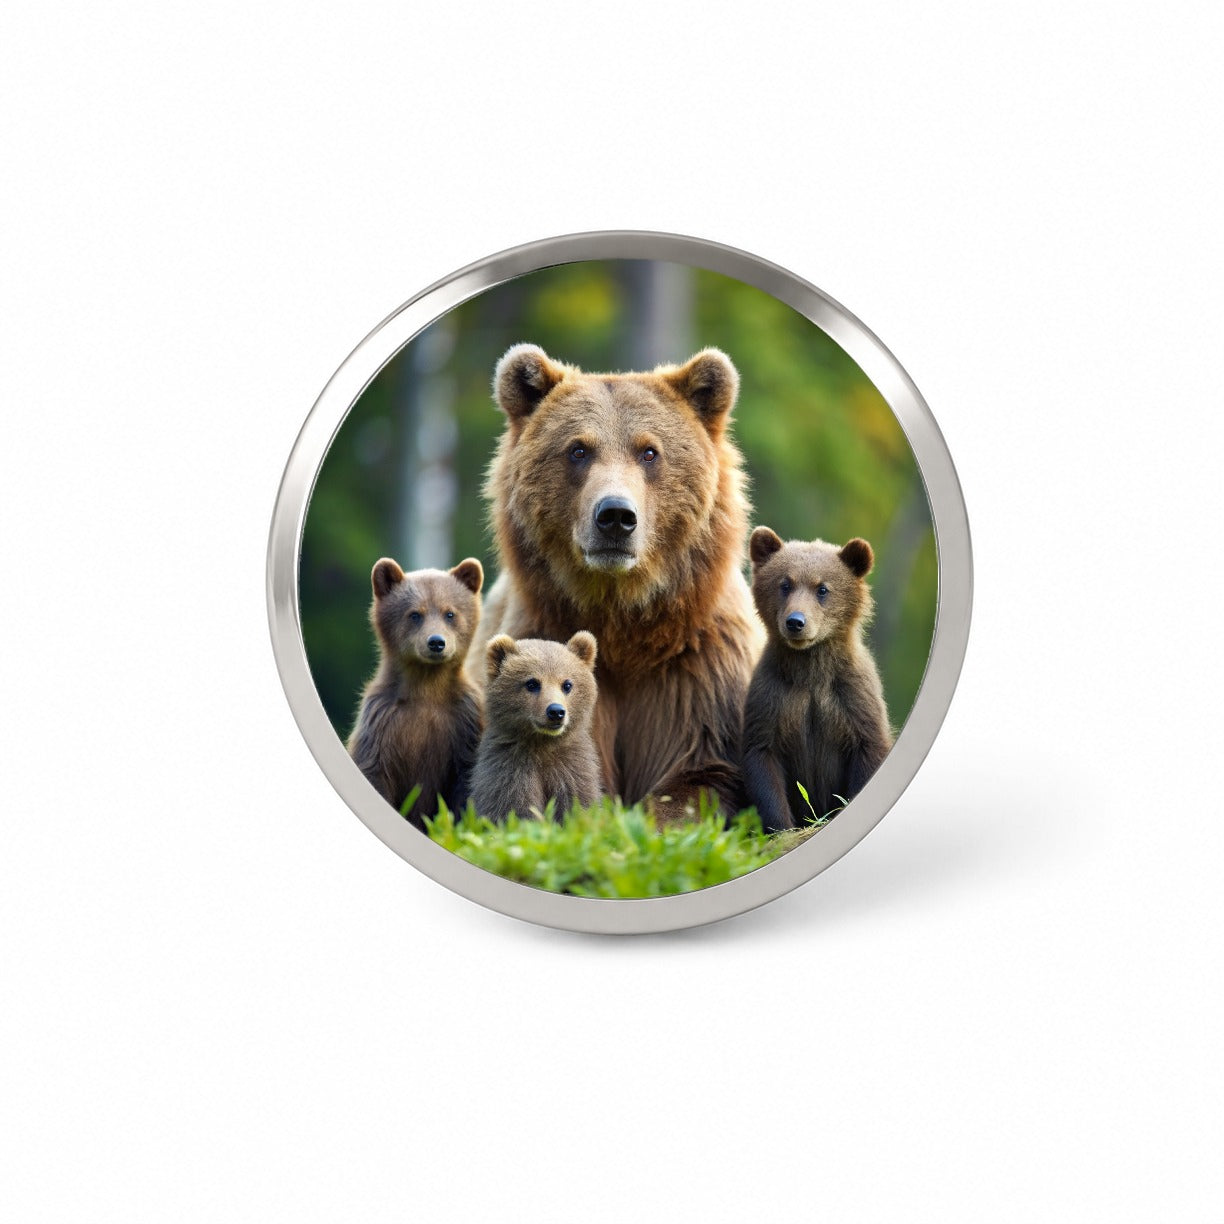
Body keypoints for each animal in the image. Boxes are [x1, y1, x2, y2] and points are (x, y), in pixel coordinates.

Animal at [347, 556, 484, 831]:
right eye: (414, 614)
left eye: (450, 613)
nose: (436, 642)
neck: (426, 687)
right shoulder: (381, 723)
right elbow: (374, 771)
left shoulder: (464, 723)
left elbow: (466, 784)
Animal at [469, 631, 602, 822]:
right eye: (532, 683)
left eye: (567, 684)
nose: (556, 711)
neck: (542, 743)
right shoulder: (510, 769)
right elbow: (511, 807)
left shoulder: (571, 769)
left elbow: (579, 801)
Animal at [741, 527, 893, 833]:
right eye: (785, 584)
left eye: (822, 588)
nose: (796, 622)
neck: (810, 669)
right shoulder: (772, 699)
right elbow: (763, 761)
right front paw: (780, 827)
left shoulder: (852, 699)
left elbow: (868, 749)